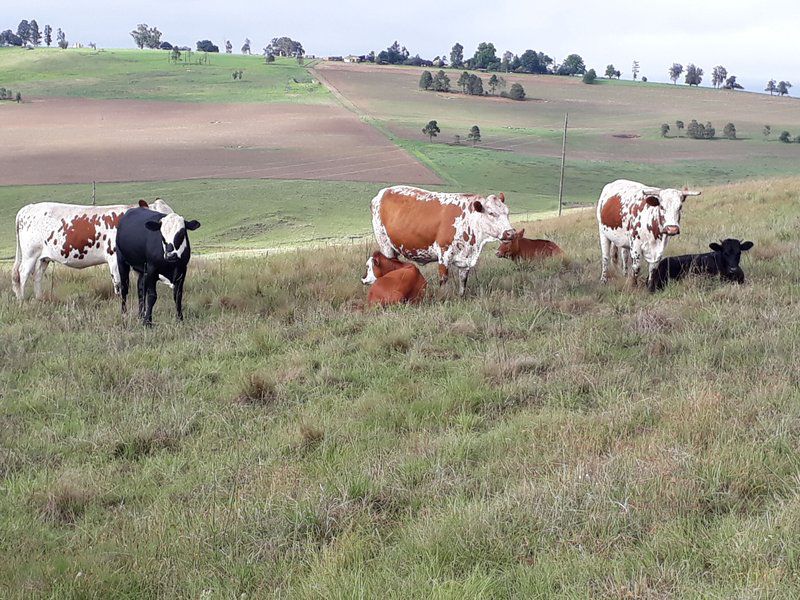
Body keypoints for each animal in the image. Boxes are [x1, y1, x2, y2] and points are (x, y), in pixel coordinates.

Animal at [11, 197, 173, 300]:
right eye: (159, 217)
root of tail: (29, 207)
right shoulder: (114, 259)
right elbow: (119, 283)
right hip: (30, 254)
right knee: (22, 274)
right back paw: (23, 300)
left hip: (43, 257)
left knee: (37, 275)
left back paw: (39, 299)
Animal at [366, 184, 516, 294]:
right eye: (491, 213)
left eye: (507, 212)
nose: (510, 233)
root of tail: (382, 192)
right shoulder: (444, 253)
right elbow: (443, 279)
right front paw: (443, 297)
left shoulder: (466, 259)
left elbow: (463, 280)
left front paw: (461, 297)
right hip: (385, 245)